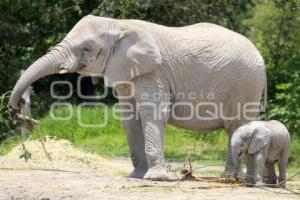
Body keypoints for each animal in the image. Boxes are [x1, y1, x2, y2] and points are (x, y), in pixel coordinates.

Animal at [9, 15, 268, 180]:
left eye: (87, 49)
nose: (17, 110)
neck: (119, 25)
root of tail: (261, 58)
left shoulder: (153, 72)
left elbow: (152, 114)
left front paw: (156, 179)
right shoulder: (126, 72)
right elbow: (130, 118)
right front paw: (136, 176)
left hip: (245, 85)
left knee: (236, 126)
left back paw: (232, 179)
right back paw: (230, 178)